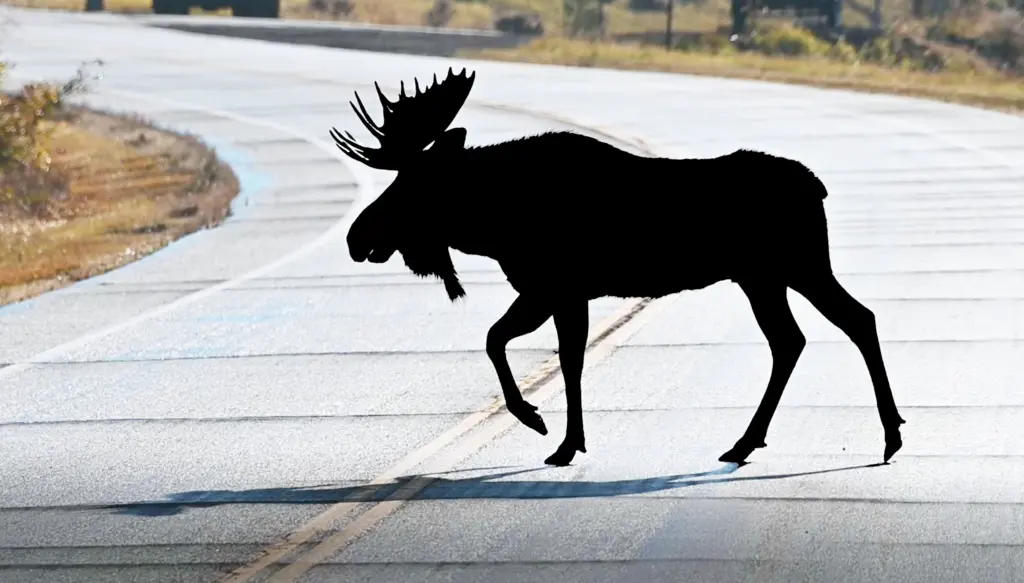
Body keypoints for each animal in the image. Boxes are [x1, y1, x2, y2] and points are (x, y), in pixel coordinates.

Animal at [330, 67, 906, 468]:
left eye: (413, 184)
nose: (357, 237)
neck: (496, 220)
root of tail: (818, 187)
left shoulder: (555, 287)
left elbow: (536, 351)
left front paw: (546, 430)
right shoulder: (553, 291)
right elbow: (527, 346)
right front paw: (563, 436)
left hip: (792, 266)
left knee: (839, 325)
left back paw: (883, 435)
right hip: (769, 276)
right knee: (818, 331)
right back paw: (759, 441)